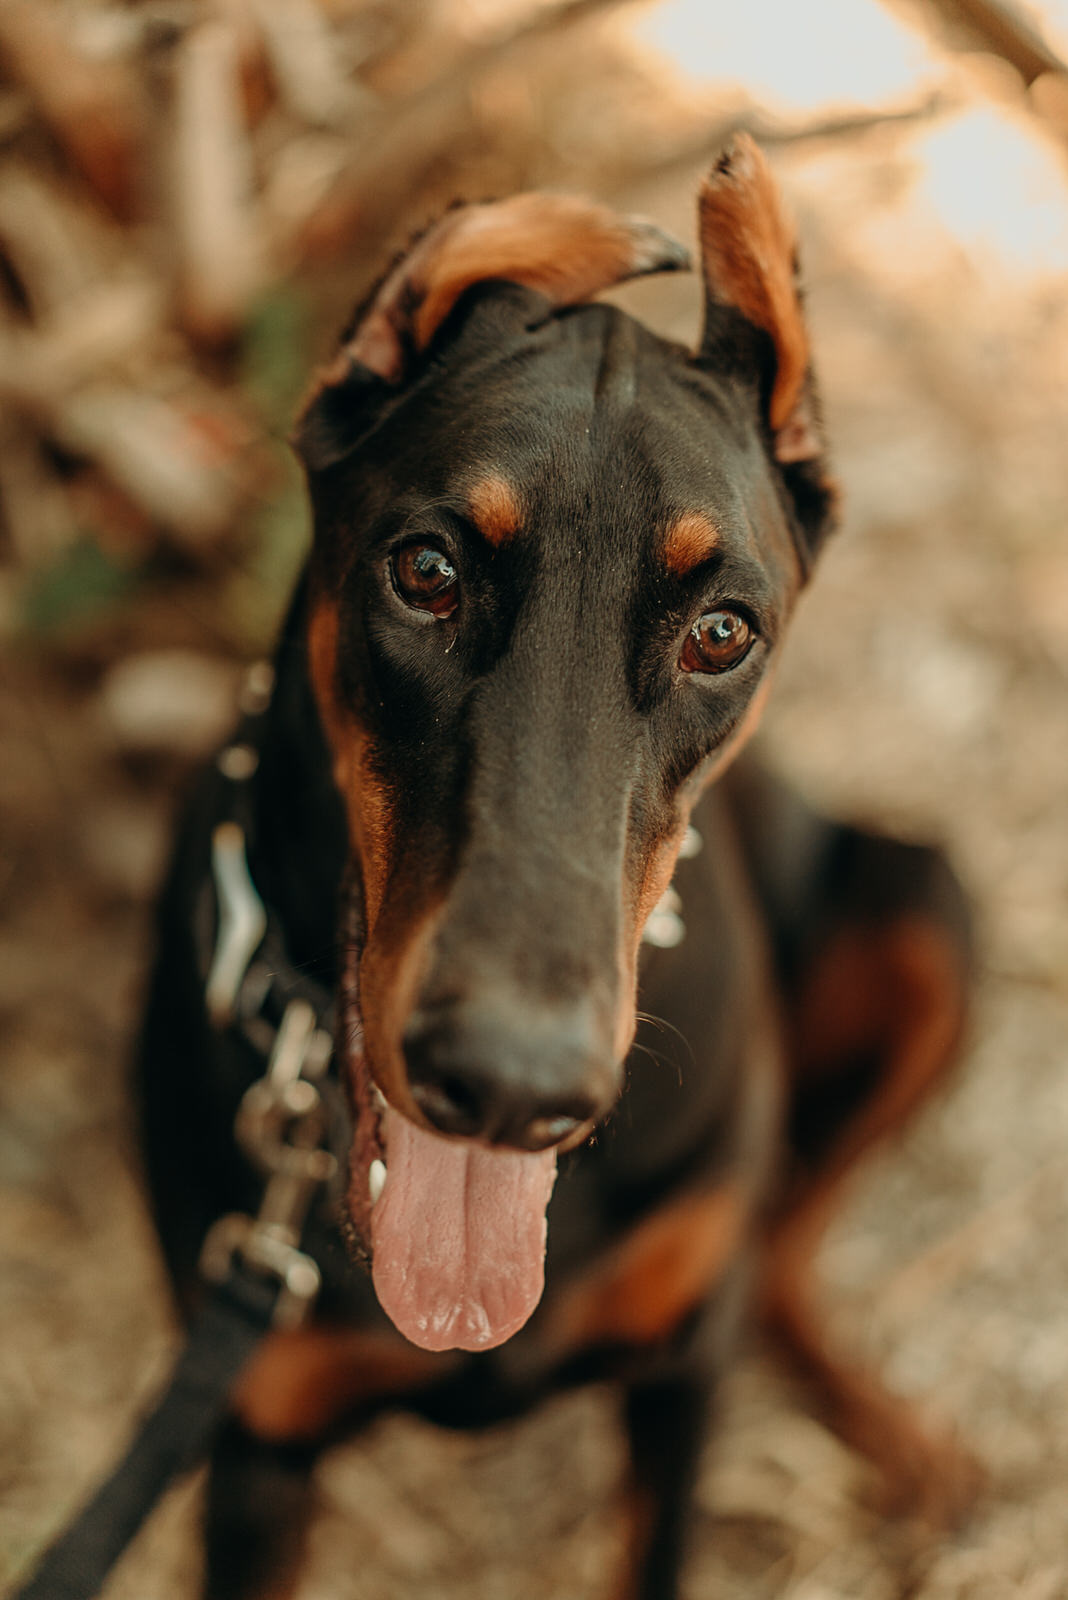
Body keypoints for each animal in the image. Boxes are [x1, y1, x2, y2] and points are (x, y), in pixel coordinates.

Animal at [135, 140, 978, 1600]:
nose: (511, 1089)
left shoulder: (682, 1376)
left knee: (787, 1242)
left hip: (930, 913)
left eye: (722, 631)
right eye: (424, 569)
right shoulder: (256, 1445)